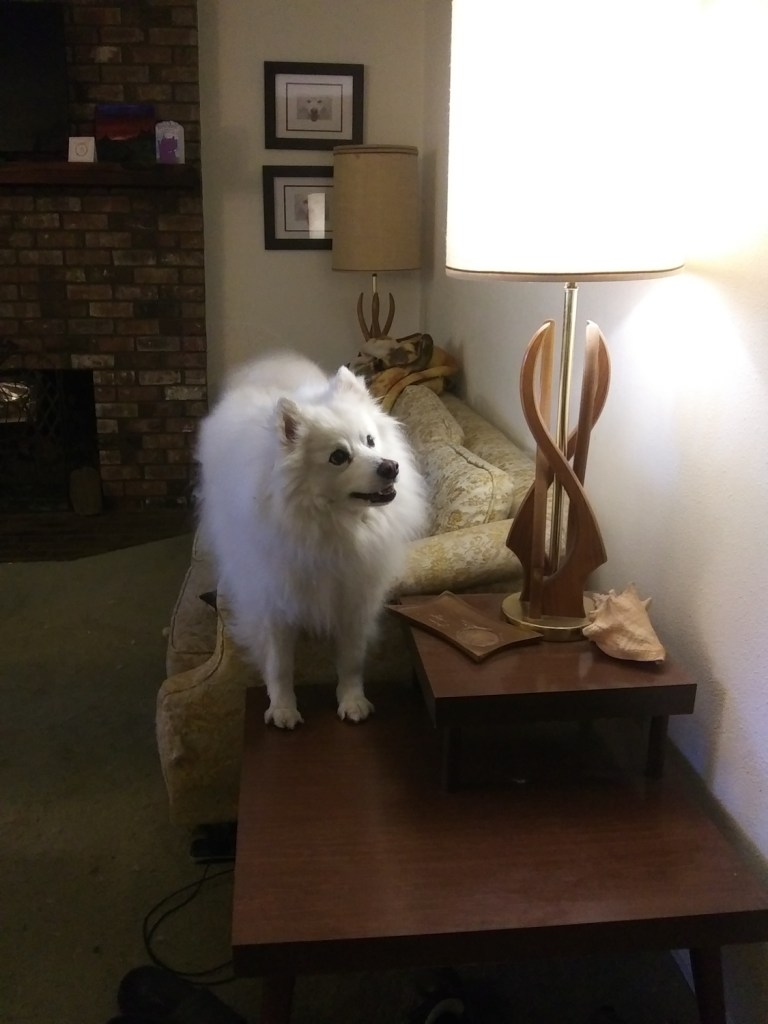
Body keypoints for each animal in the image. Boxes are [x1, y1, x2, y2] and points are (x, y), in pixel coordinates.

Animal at [196, 351, 428, 728]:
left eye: (370, 441)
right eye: (338, 457)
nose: (390, 467)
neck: (331, 528)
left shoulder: (354, 598)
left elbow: (351, 660)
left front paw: (352, 701)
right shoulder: (274, 601)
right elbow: (279, 664)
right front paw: (282, 709)